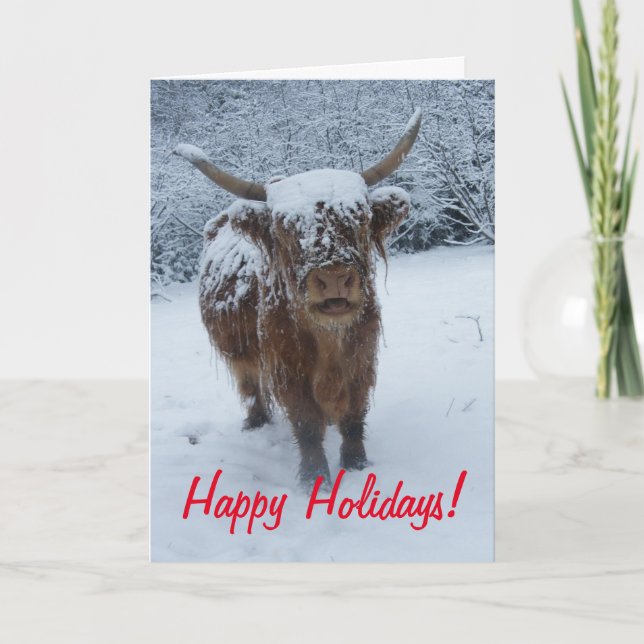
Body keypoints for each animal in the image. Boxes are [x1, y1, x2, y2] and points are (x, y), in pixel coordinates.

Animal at [174, 109, 421, 487]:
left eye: (361, 218)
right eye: (284, 227)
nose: (334, 278)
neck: (328, 339)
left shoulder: (362, 356)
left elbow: (353, 413)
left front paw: (357, 464)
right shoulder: (287, 368)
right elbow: (306, 422)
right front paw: (314, 477)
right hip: (240, 353)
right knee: (251, 386)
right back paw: (256, 422)